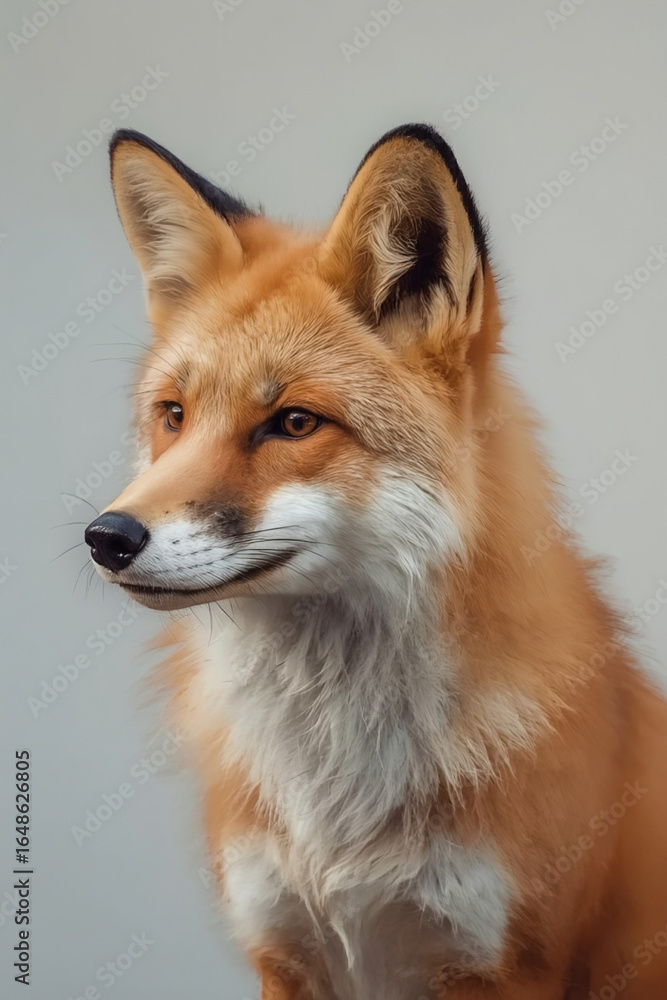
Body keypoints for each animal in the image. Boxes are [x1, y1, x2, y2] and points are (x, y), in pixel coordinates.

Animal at [83, 123, 667, 999]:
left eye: (293, 423)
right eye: (173, 416)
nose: (108, 537)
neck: (333, 788)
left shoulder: (501, 966)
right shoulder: (284, 951)